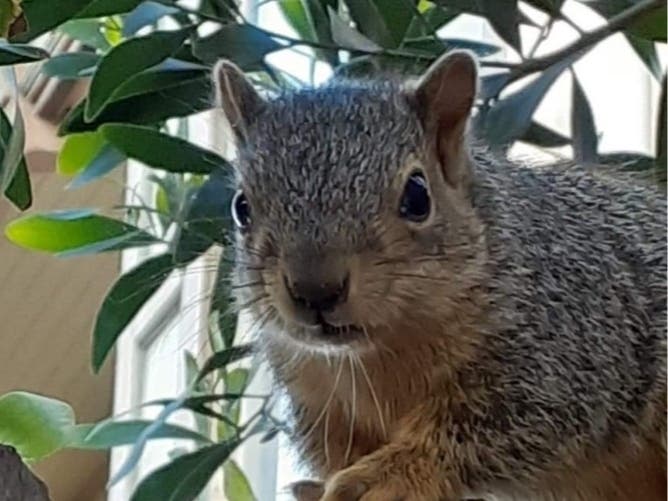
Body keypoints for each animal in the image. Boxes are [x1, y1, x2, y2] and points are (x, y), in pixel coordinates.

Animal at [213, 50, 667, 501]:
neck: (375, 358)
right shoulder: (323, 406)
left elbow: (501, 427)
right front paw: (320, 485)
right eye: (240, 207)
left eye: (418, 196)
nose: (315, 290)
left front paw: (391, 474)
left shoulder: (567, 346)